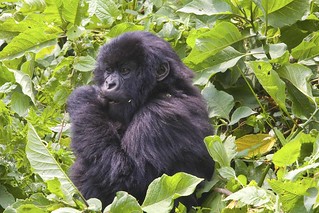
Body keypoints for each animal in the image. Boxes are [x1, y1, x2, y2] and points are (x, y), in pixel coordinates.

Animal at [69, 31, 216, 210]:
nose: (109, 84)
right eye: (109, 70)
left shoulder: (157, 117)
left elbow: (126, 175)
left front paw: (84, 98)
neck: (159, 91)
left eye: (125, 70)